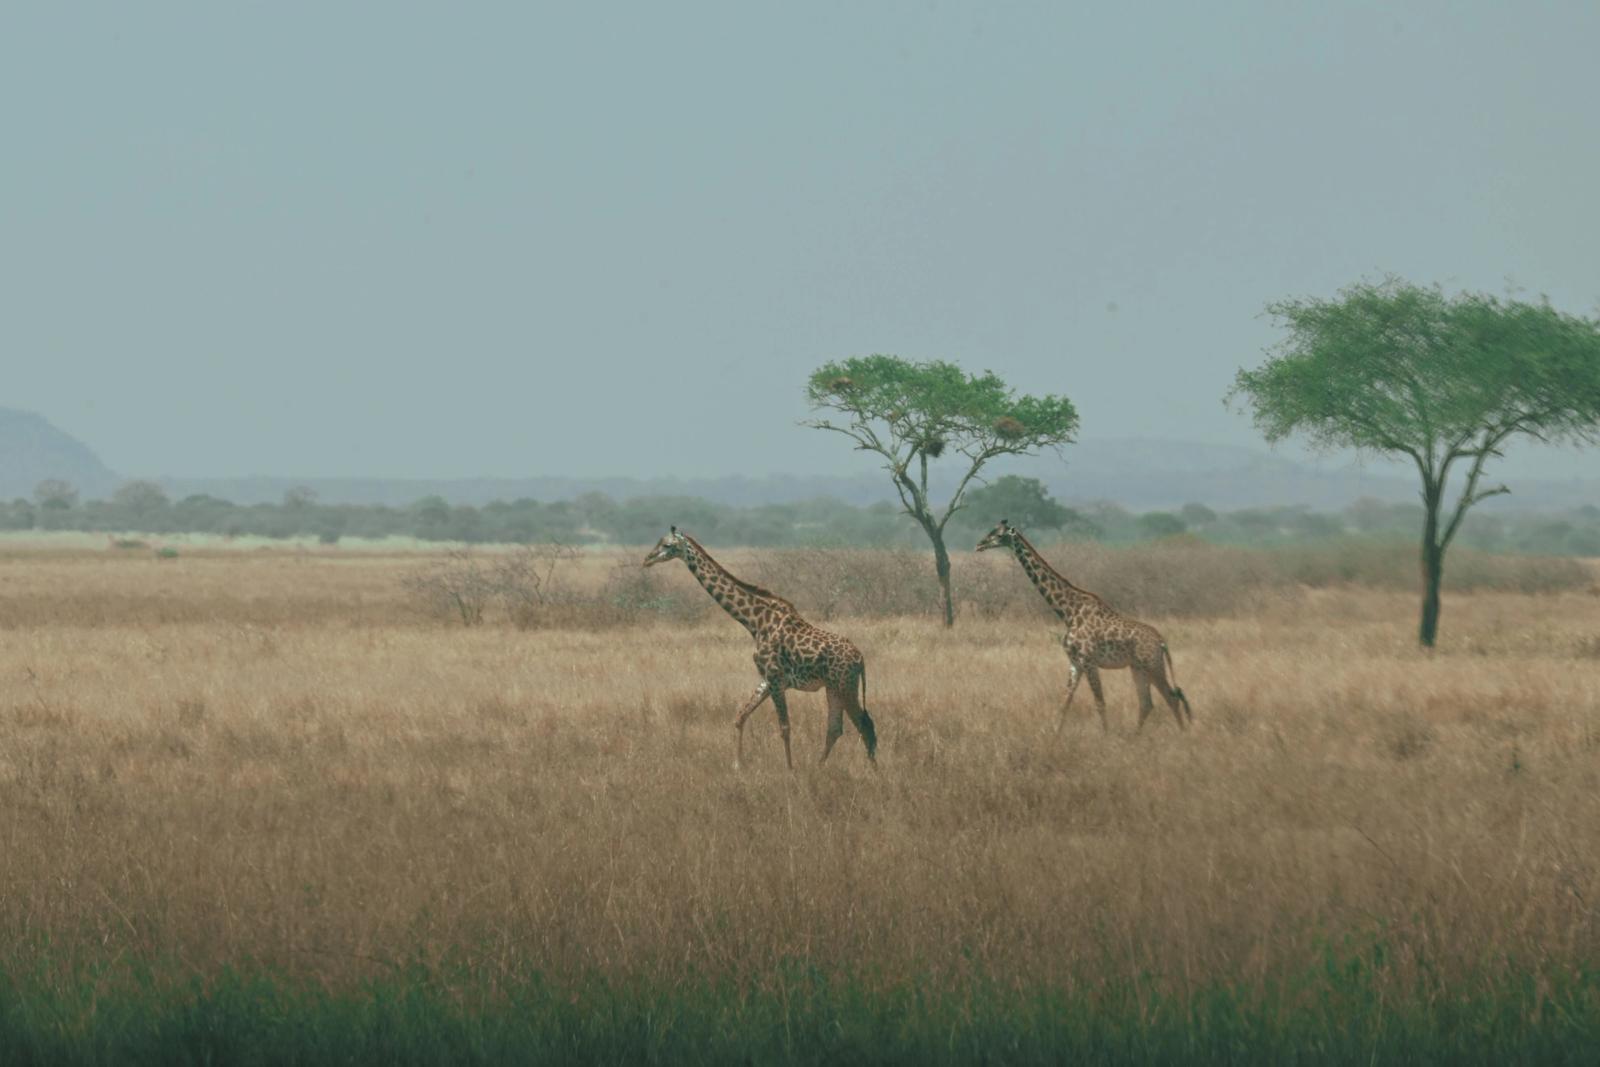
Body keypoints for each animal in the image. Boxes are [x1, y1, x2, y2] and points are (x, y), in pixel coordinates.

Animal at [643, 527, 877, 769]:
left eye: (667, 545)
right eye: (659, 542)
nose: (647, 559)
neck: (754, 622)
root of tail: (860, 658)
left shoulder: (775, 677)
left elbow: (784, 727)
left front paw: (790, 769)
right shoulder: (767, 679)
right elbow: (740, 716)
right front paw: (737, 765)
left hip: (845, 685)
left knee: (865, 725)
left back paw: (874, 771)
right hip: (833, 687)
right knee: (836, 728)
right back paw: (820, 767)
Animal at [976, 519, 1193, 732]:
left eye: (998, 534)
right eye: (992, 530)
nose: (979, 545)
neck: (1068, 612)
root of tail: (1162, 642)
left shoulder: (1088, 661)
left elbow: (1099, 703)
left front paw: (1106, 736)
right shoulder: (1075, 662)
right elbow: (1065, 702)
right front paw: (1054, 736)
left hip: (1152, 665)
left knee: (1171, 698)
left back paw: (1181, 734)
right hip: (1138, 667)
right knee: (1147, 703)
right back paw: (1135, 737)